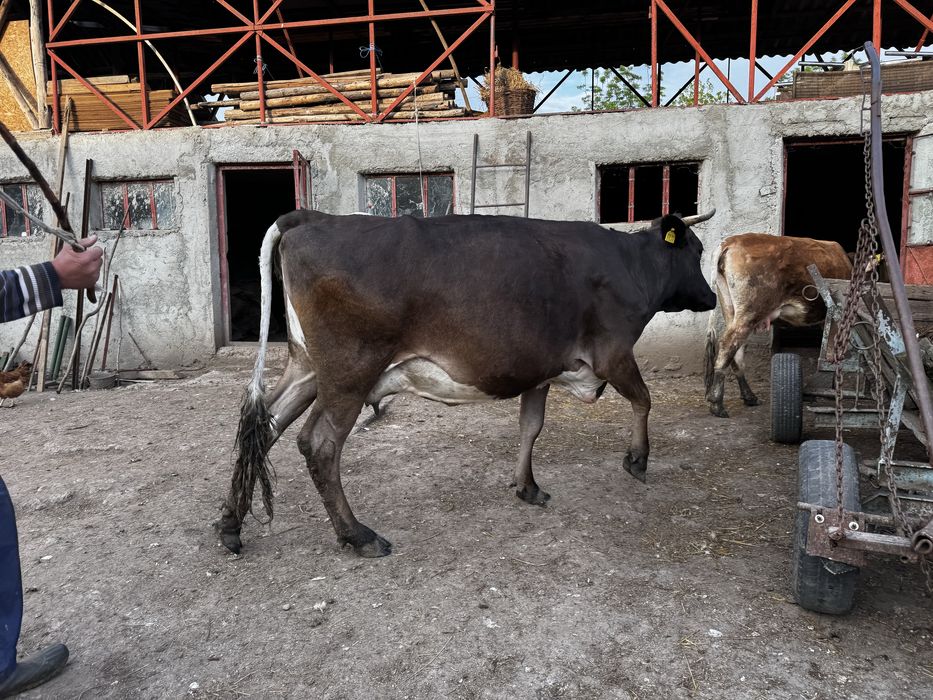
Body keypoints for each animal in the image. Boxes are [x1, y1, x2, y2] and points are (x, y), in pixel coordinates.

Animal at [219, 208, 718, 557]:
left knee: (262, 426)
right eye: (696, 252)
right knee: (319, 443)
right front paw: (637, 459)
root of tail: (313, 216)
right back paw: (358, 535)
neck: (630, 265)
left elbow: (530, 427)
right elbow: (644, 399)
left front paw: (527, 486)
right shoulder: (614, 353)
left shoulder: (540, 368)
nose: (712, 296)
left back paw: (230, 525)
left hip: (306, 366)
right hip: (349, 373)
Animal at [704, 233, 852, 417]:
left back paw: (749, 397)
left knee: (736, 353)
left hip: (731, 310)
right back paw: (717, 404)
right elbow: (833, 354)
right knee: (728, 345)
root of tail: (730, 241)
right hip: (750, 312)